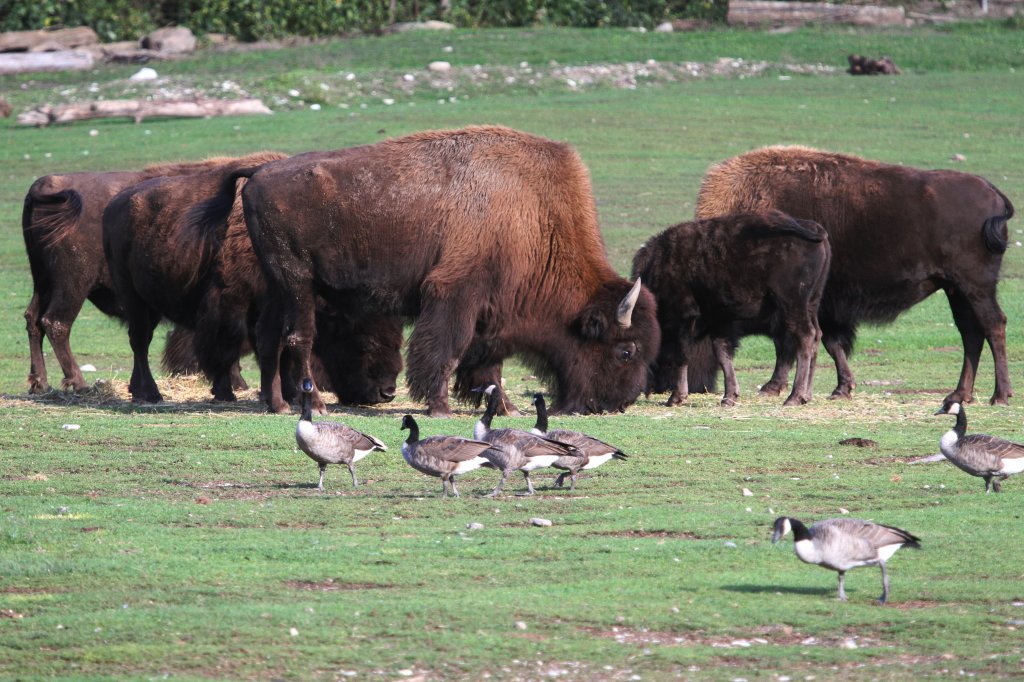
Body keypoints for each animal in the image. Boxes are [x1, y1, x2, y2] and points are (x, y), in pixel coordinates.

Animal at [102, 151, 403, 405]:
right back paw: (150, 393)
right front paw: (226, 392)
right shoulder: (230, 304)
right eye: (363, 342)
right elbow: (230, 348)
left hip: (149, 301)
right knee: (140, 341)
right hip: (133, 298)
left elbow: (278, 349)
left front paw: (288, 395)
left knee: (139, 340)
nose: (386, 393)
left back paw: (137, 390)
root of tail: (115, 205)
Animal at [217, 125, 659, 417]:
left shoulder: (490, 310)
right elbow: (448, 351)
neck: (530, 211)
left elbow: (487, 364)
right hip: (298, 282)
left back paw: (276, 404)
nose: (617, 403)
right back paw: (316, 406)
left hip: (278, 284)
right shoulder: (455, 293)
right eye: (625, 350)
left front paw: (507, 409)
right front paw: (440, 407)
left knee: (269, 335)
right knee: (299, 338)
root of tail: (259, 173)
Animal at [630, 209, 831, 405]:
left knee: (805, 336)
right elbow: (722, 354)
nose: (648, 389)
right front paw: (729, 397)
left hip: (792, 304)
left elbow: (683, 355)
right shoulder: (718, 320)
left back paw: (794, 397)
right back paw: (807, 395)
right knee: (816, 336)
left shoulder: (684, 318)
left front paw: (676, 398)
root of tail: (814, 228)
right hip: (811, 303)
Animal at [696, 144, 1015, 403]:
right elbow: (829, 343)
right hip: (955, 289)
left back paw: (999, 396)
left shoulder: (800, 303)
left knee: (993, 325)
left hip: (975, 286)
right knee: (971, 332)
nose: (701, 387)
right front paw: (841, 389)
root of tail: (992, 192)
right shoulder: (819, 308)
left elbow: (796, 342)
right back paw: (960, 394)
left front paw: (774, 387)